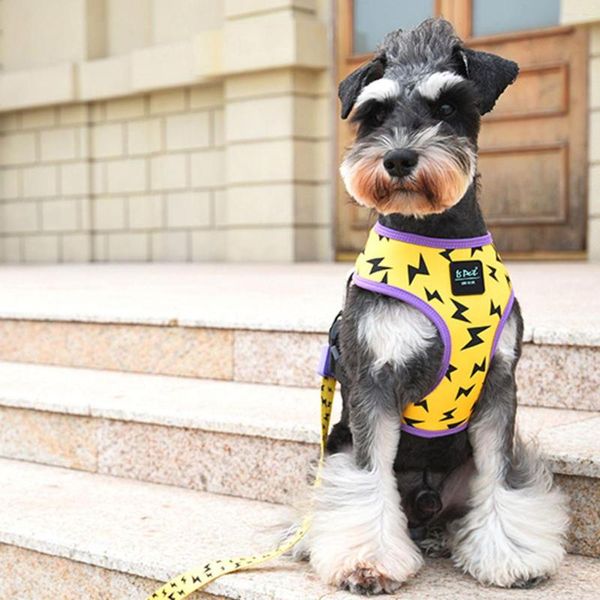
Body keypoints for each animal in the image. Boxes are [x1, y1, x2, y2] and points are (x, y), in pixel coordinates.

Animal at [298, 17, 568, 596]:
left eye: (447, 106)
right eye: (375, 114)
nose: (398, 159)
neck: (438, 240)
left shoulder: (499, 386)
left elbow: (500, 476)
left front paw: (510, 556)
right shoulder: (374, 383)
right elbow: (369, 478)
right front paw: (367, 562)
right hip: (336, 450)